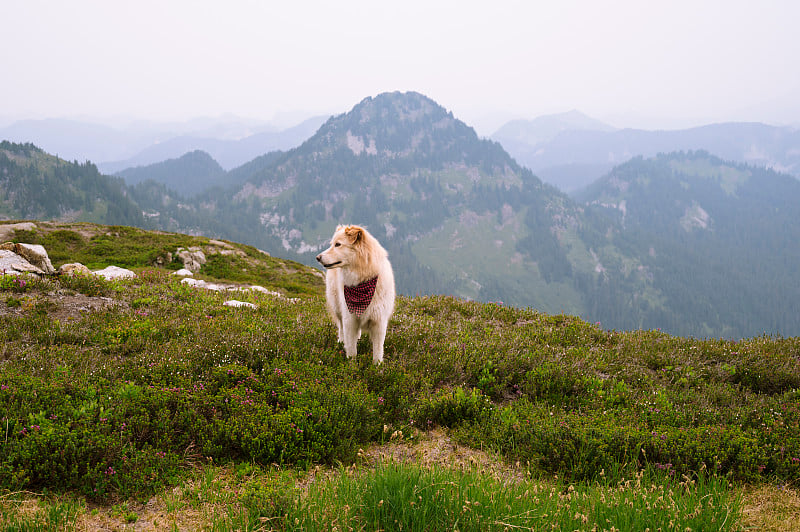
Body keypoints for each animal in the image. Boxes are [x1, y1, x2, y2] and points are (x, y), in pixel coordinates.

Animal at [316, 222, 396, 364]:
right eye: (332, 244)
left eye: (338, 244)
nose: (318, 258)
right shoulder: (350, 319)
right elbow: (352, 349)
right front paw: (351, 365)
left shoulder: (379, 322)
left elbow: (378, 350)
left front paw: (377, 366)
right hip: (338, 308)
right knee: (341, 327)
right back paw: (341, 342)